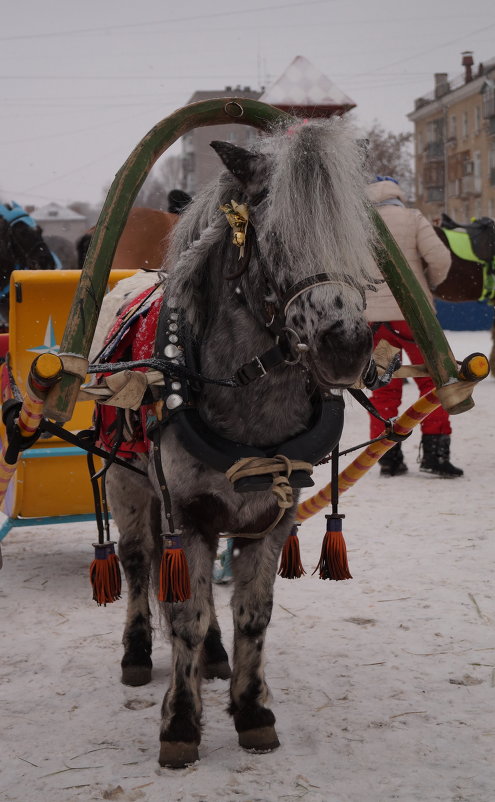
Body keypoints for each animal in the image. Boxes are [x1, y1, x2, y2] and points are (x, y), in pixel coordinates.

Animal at [95, 115, 378, 764]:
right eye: (277, 234)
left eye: (351, 230)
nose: (347, 346)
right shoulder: (187, 510)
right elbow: (185, 614)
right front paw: (181, 721)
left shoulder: (271, 511)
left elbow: (253, 614)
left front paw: (251, 710)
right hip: (127, 480)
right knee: (139, 564)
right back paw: (137, 651)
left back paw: (215, 657)